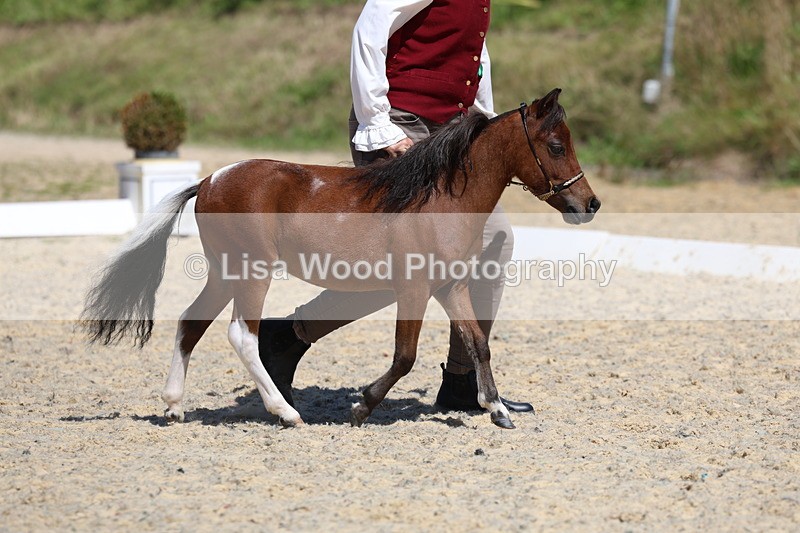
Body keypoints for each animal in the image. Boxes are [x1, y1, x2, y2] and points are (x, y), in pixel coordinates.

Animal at [82, 88, 600, 430]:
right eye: (556, 145)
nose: (589, 204)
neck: (439, 197)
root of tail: (209, 180)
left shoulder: (449, 287)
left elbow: (478, 344)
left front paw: (496, 409)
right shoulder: (414, 289)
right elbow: (405, 356)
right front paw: (362, 406)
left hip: (224, 273)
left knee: (192, 323)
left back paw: (173, 406)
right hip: (250, 272)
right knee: (241, 335)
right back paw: (287, 413)